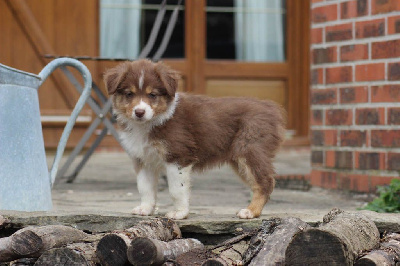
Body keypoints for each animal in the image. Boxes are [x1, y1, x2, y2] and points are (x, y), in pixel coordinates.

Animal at [103, 59, 284, 219]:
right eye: (129, 94)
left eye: (152, 95)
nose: (139, 112)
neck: (150, 124)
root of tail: (270, 107)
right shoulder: (143, 159)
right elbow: (145, 188)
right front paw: (145, 209)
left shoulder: (178, 156)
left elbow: (176, 189)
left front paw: (179, 214)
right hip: (239, 160)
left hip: (249, 150)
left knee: (265, 182)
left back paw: (250, 211)